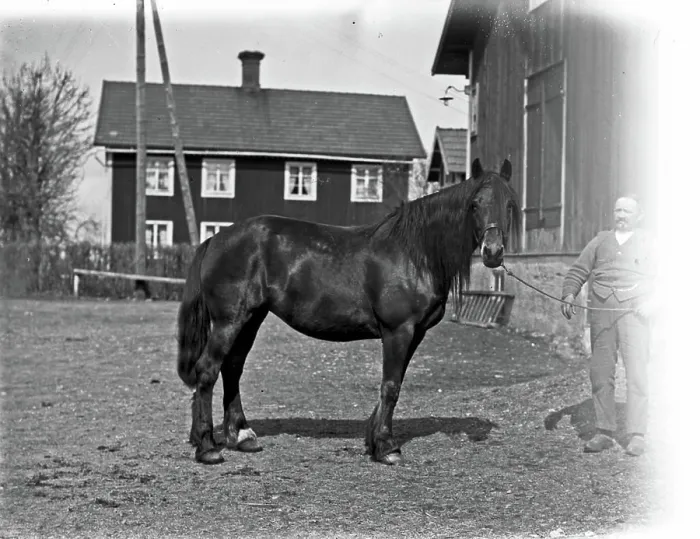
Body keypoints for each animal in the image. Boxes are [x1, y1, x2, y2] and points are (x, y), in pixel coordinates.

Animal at [177, 158, 521, 465]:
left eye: (509, 204)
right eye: (474, 204)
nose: (493, 252)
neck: (414, 253)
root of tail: (216, 239)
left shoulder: (415, 334)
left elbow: (394, 384)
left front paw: (373, 440)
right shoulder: (398, 331)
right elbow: (391, 386)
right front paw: (386, 448)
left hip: (251, 319)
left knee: (232, 368)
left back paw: (241, 436)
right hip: (229, 321)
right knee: (207, 370)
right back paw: (207, 448)